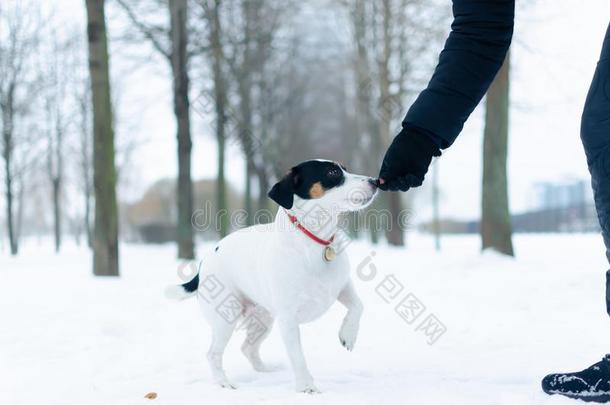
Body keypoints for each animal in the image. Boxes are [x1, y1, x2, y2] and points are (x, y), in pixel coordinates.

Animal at [166, 159, 376, 392]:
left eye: (345, 169)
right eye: (332, 172)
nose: (376, 181)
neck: (314, 242)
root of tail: (208, 257)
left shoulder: (342, 286)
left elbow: (358, 306)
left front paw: (348, 335)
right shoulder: (288, 319)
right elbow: (298, 357)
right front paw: (306, 386)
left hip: (263, 320)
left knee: (247, 348)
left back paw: (265, 371)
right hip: (226, 319)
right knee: (213, 354)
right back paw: (223, 382)